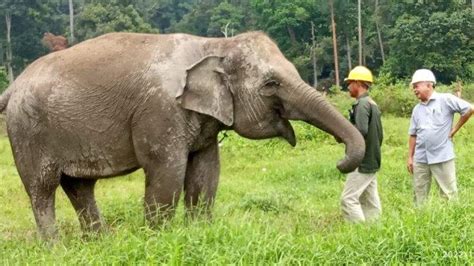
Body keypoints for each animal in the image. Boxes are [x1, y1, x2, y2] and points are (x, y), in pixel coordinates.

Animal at [0, 31, 364, 239]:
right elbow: (167, 173)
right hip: (28, 131)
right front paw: (158, 240)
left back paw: (99, 243)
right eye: (271, 83)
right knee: (42, 189)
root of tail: (13, 87)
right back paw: (54, 247)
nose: (340, 160)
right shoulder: (160, 111)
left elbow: (206, 172)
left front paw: (199, 232)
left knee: (80, 187)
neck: (213, 43)